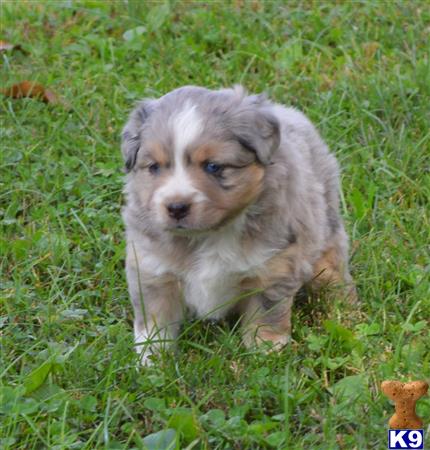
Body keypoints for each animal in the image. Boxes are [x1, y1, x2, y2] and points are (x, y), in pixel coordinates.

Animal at [121, 85, 356, 366]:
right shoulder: (152, 268)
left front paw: (266, 351)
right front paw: (152, 359)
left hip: (325, 236)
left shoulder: (274, 267)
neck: (207, 236)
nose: (176, 207)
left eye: (213, 166)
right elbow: (156, 319)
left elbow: (266, 314)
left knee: (333, 272)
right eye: (154, 167)